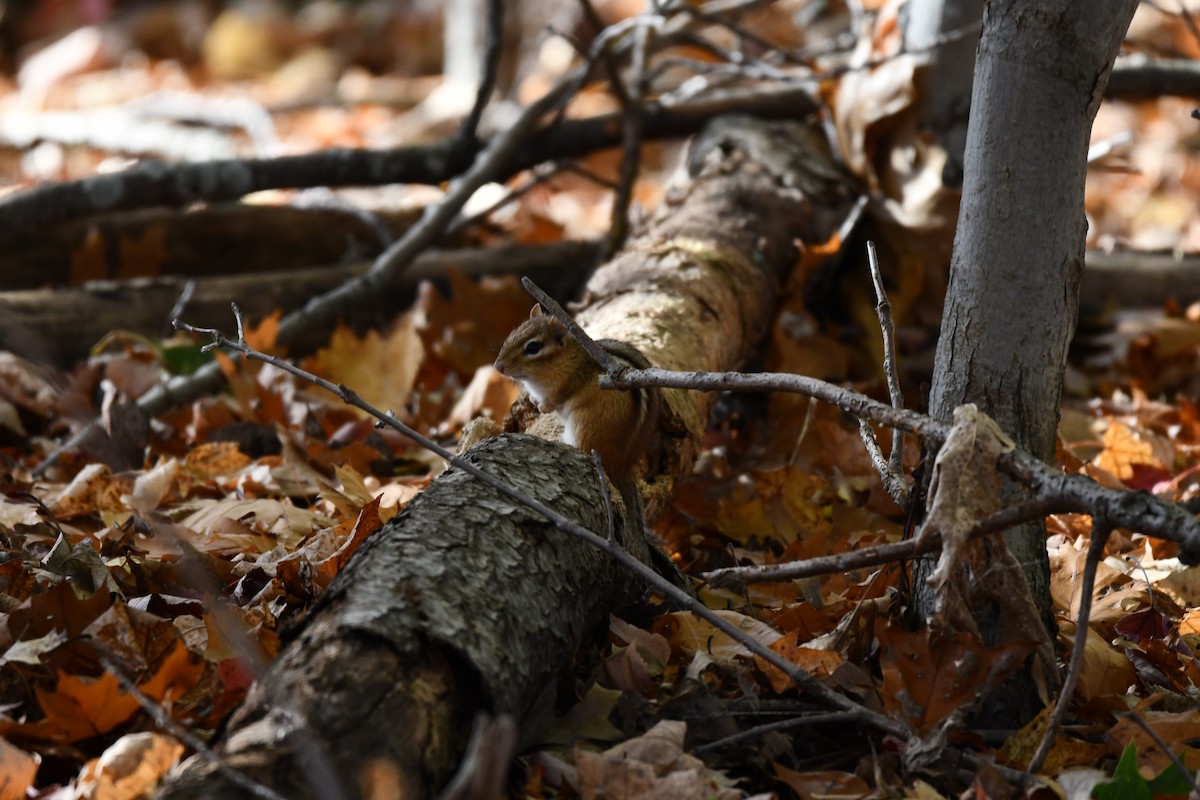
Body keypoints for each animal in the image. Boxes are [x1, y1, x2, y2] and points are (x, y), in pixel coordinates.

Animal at [493, 304, 660, 503]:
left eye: (533, 347)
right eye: (513, 333)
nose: (498, 367)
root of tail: (622, 465)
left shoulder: (569, 384)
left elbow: (557, 398)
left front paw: (544, 407)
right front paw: (534, 401)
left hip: (585, 426)